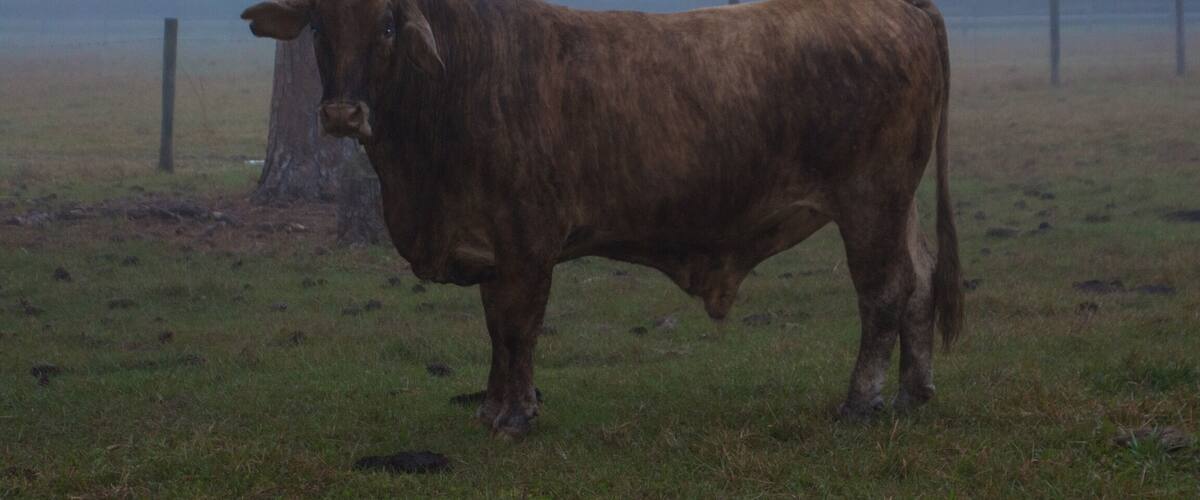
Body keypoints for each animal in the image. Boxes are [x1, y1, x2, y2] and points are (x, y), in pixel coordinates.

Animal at [242, 0, 964, 437]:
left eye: (387, 25)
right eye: (318, 25)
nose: (342, 113)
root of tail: (898, 8)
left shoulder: (527, 241)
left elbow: (517, 330)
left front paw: (514, 415)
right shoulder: (492, 250)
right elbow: (495, 333)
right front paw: (497, 405)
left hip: (870, 201)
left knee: (884, 293)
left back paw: (862, 401)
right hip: (897, 205)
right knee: (921, 281)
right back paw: (914, 391)